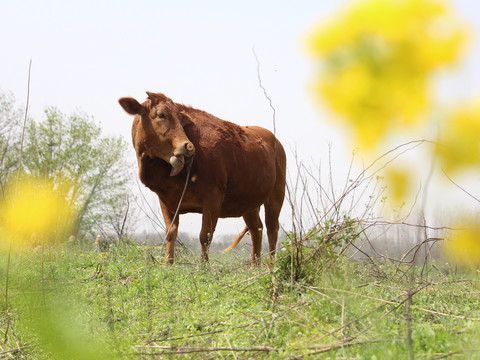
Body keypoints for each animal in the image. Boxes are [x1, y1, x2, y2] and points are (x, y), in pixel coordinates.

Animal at [118, 93, 286, 268]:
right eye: (161, 115)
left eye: (180, 118)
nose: (188, 146)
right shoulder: (165, 199)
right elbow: (171, 232)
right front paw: (167, 263)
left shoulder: (213, 197)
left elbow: (205, 236)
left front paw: (204, 267)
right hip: (249, 202)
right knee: (256, 229)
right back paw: (254, 267)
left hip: (276, 194)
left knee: (272, 229)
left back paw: (270, 268)